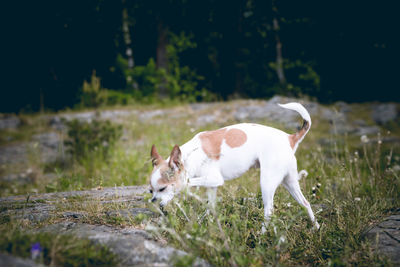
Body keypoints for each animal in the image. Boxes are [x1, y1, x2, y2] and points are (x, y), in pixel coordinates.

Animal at [148, 103, 320, 232]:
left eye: (162, 189)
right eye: (151, 191)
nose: (154, 202)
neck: (190, 155)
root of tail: (290, 138)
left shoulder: (214, 179)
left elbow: (187, 182)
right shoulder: (212, 186)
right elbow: (210, 207)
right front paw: (206, 223)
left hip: (267, 183)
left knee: (269, 211)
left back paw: (262, 236)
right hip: (289, 182)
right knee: (305, 203)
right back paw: (316, 227)